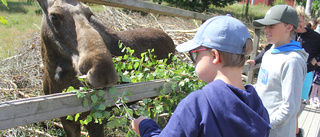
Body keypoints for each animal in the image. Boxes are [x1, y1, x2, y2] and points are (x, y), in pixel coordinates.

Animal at [37, 0, 175, 136]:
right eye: (53, 16)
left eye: (90, 14)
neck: (56, 80)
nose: (103, 72)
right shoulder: (67, 121)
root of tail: (170, 39)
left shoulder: (95, 121)